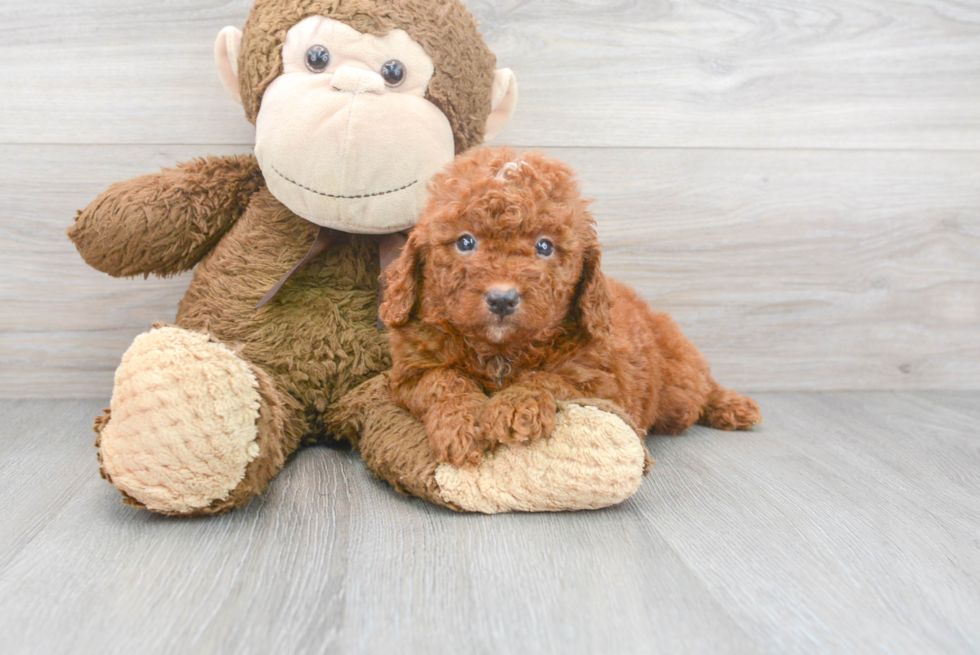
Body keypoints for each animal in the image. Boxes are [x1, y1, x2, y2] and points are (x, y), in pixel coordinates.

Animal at [378, 147, 760, 466]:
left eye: (545, 246)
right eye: (466, 242)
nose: (502, 298)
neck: (500, 353)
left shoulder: (602, 382)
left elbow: (548, 378)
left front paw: (516, 407)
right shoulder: (410, 373)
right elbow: (444, 380)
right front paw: (463, 423)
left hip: (678, 379)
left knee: (700, 388)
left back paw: (732, 405)